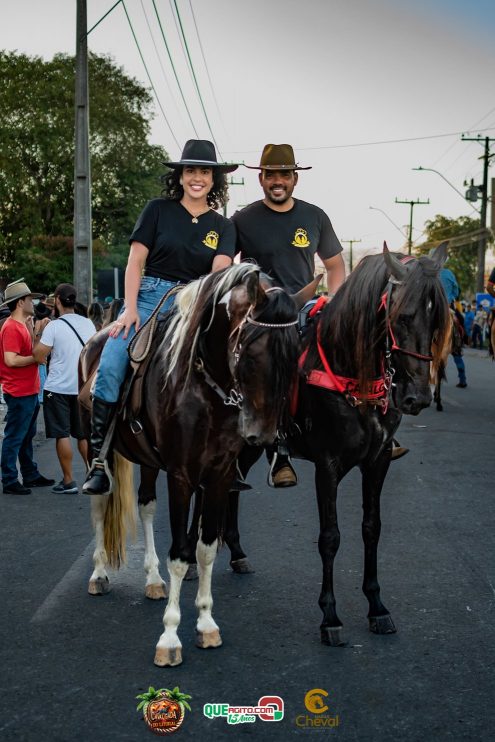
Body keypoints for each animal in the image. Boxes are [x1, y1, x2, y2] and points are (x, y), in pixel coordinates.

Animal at [79, 266, 310, 668]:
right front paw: (170, 637)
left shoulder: (217, 475)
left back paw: (152, 581)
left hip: (149, 461)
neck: (205, 388)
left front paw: (205, 623)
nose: (263, 434)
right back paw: (99, 573)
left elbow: (205, 550)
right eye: (251, 351)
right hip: (93, 449)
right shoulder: (182, 475)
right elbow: (180, 555)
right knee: (99, 503)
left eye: (295, 352)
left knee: (145, 505)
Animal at [225, 247, 454, 648]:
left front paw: (377, 606)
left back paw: (236, 552)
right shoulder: (327, 467)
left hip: (253, 443)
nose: (418, 397)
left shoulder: (378, 462)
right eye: (404, 316)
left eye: (438, 320)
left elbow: (371, 527)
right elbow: (330, 538)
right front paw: (330, 616)